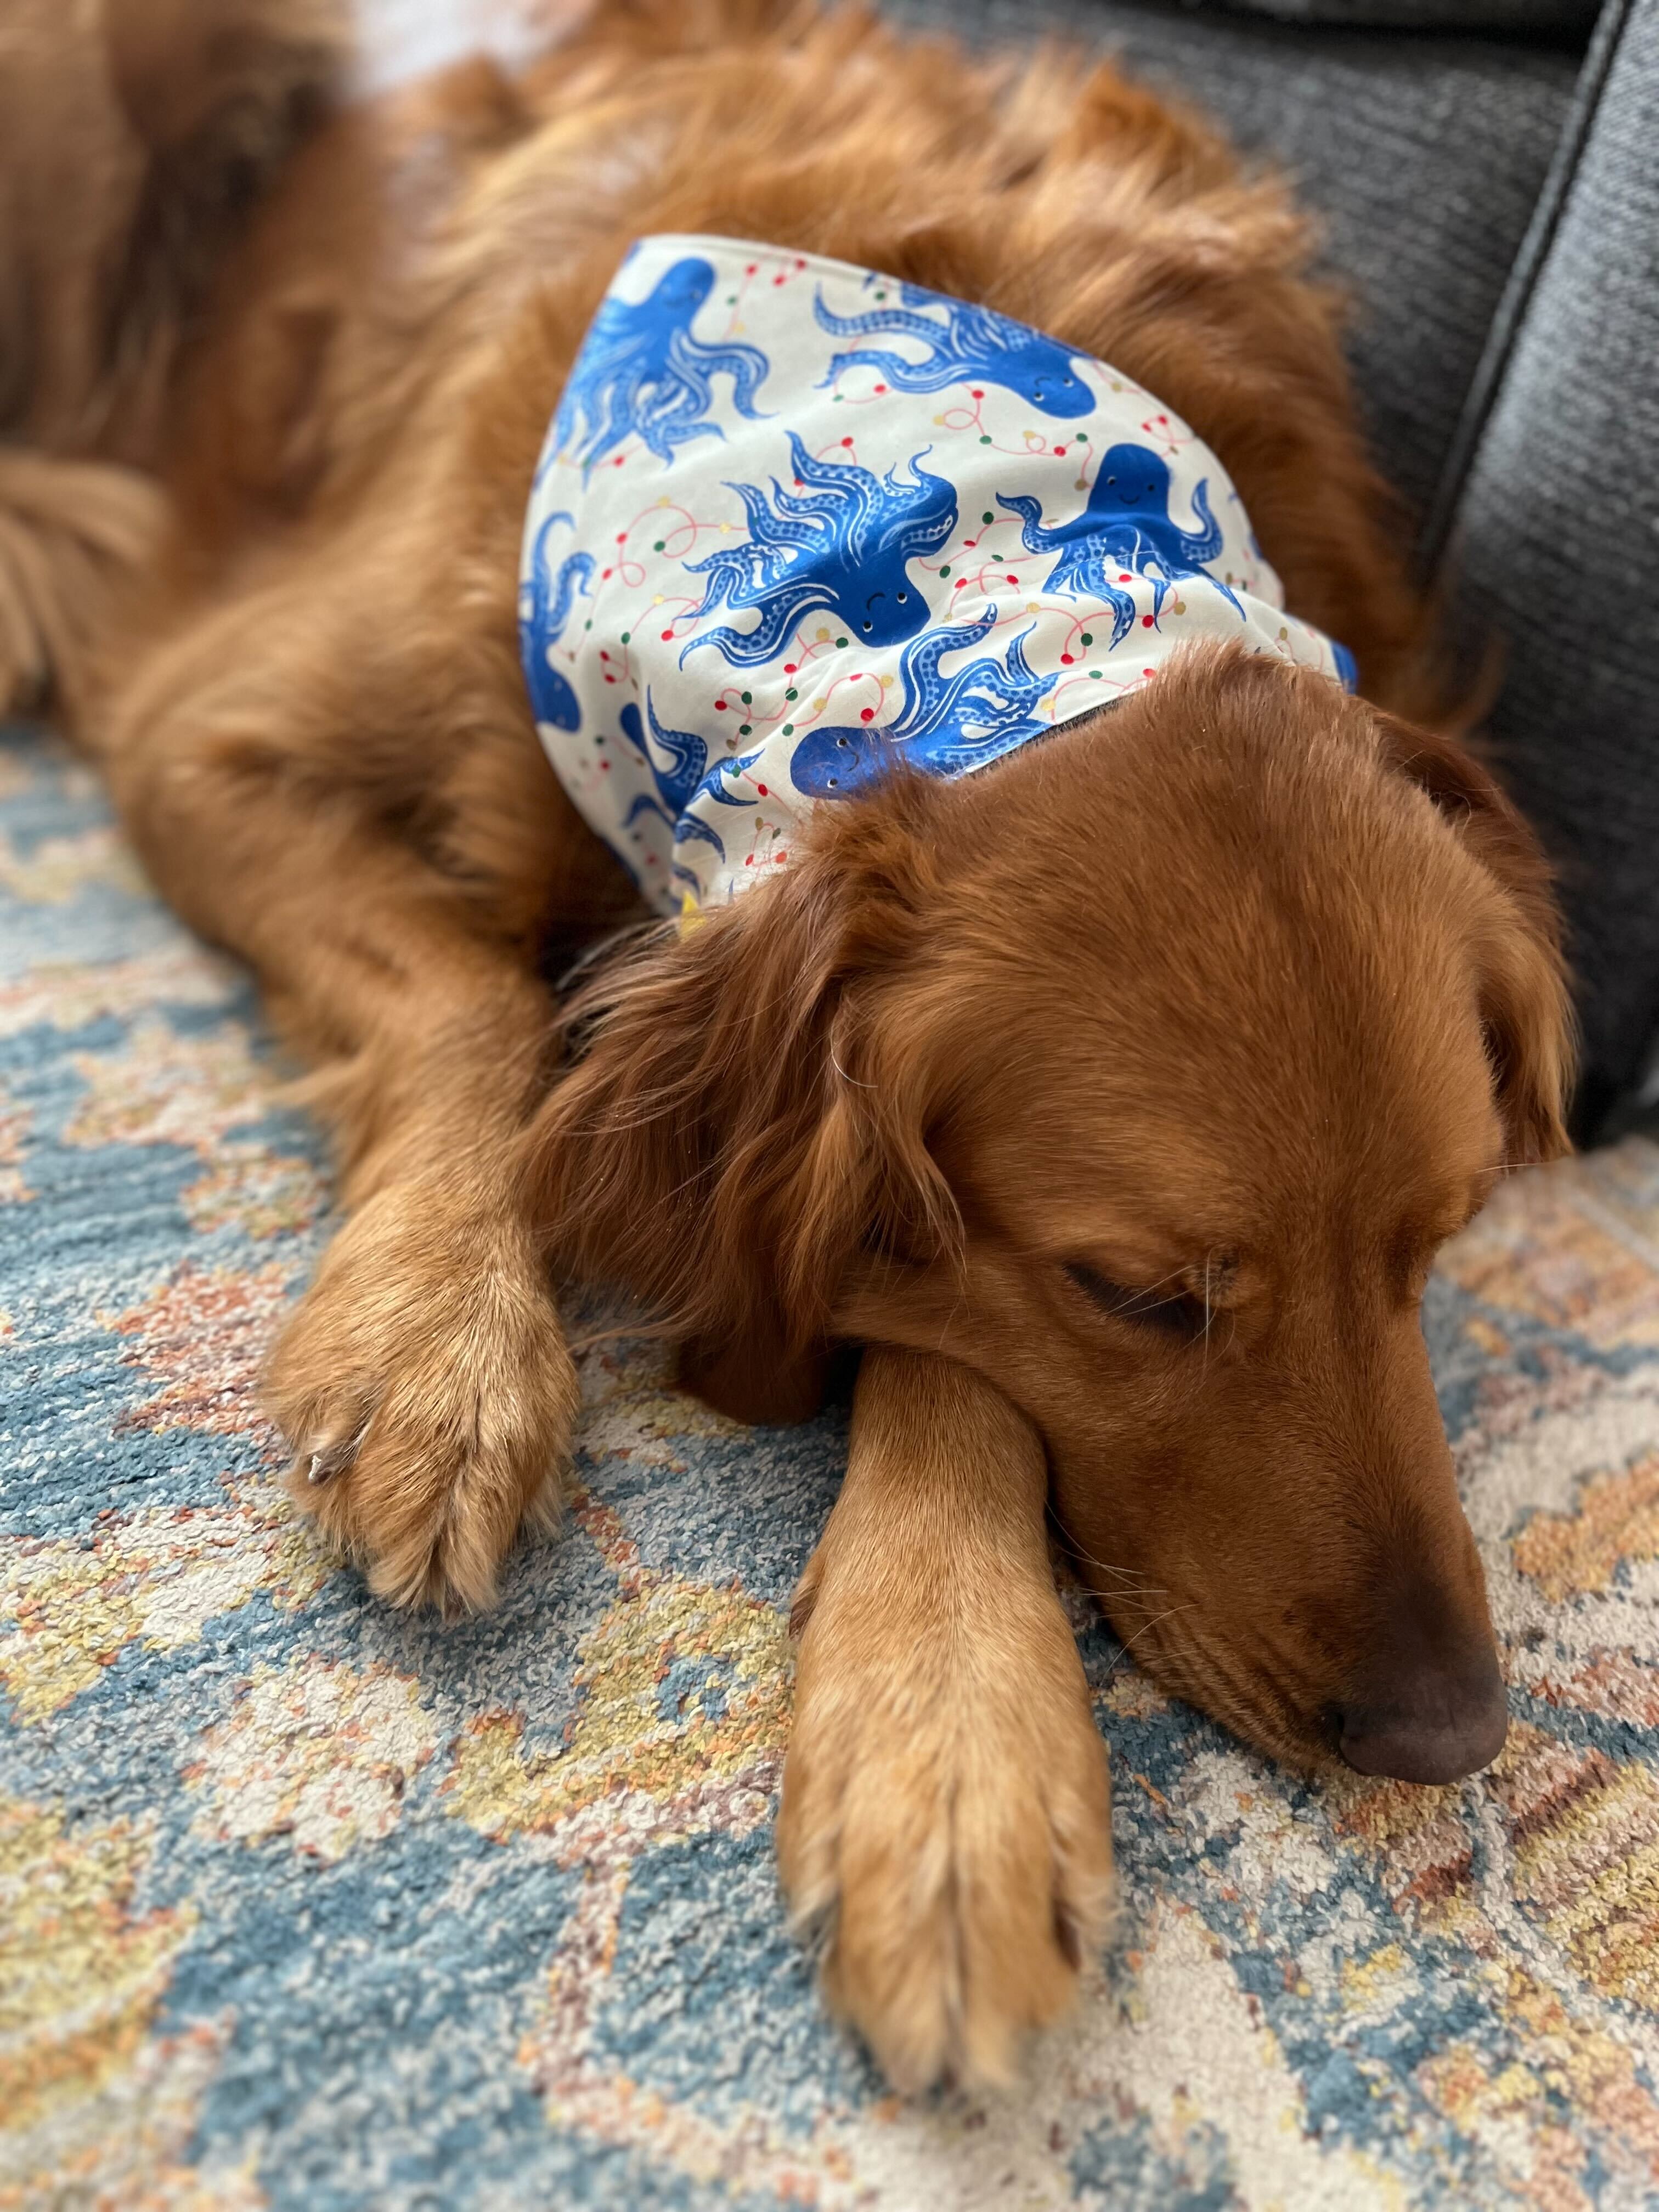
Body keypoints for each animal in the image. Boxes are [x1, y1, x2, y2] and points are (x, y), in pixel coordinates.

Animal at [9, 0, 1575, 2088]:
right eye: (1141, 1295)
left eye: (1441, 1244)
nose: (1451, 1738)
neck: (918, 532)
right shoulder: (203, 725)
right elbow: (472, 1003)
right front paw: (439, 1346)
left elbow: (931, 1329)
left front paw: (947, 1732)